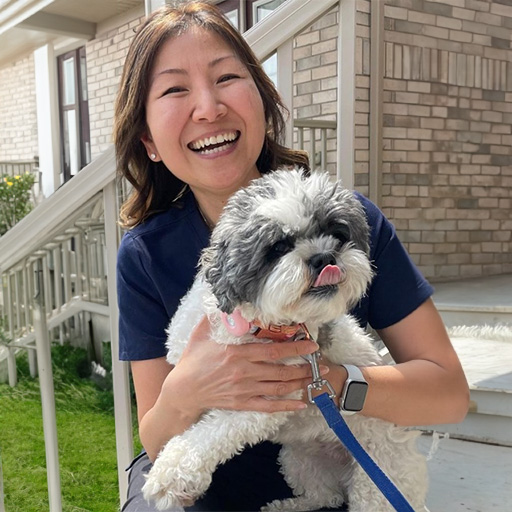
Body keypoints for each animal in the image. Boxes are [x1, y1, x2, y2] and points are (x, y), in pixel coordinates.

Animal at [142, 170, 430, 510]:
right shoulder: (190, 381)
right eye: (279, 246)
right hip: (300, 459)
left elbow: (211, 433)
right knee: (324, 495)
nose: (324, 256)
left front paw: (171, 474)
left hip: (379, 477)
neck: (257, 325)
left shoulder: (265, 401)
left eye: (337, 234)